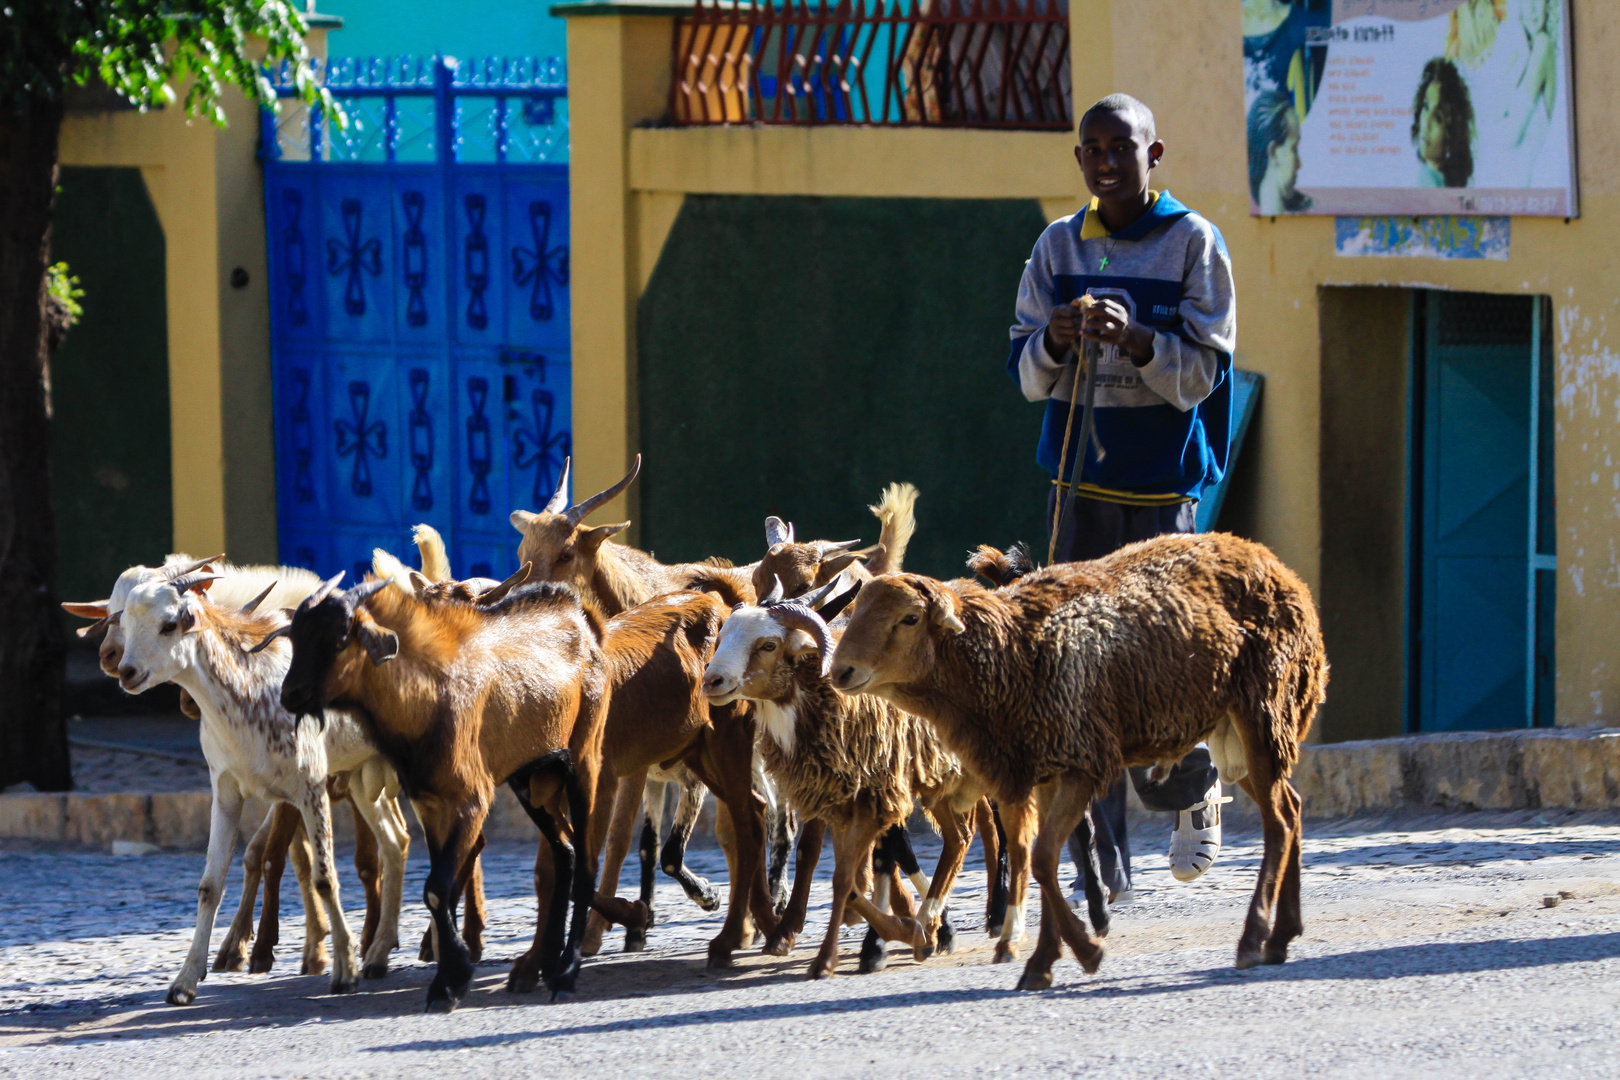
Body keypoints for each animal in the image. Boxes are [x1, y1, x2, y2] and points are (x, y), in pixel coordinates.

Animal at [272, 569, 612, 1010]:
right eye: (296, 637)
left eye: (338, 639)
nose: (290, 695)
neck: (428, 695)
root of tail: (584, 620)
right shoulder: (429, 804)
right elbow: (441, 891)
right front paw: (450, 975)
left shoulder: (471, 800)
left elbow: (437, 888)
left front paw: (451, 981)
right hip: (531, 779)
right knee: (566, 852)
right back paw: (547, 964)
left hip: (583, 759)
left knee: (586, 861)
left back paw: (567, 974)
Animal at [706, 582, 984, 977]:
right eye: (722, 638)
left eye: (768, 645)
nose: (711, 681)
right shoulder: (836, 798)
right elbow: (845, 877)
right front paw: (905, 932)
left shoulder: (875, 796)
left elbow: (843, 877)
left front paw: (827, 959)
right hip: (940, 780)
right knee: (960, 837)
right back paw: (932, 925)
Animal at [829, 531, 1334, 990]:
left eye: (910, 618)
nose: (840, 671)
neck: (1013, 655)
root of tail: (1276, 564)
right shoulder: (1041, 770)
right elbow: (1043, 860)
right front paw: (1044, 962)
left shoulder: (1080, 761)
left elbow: (1044, 859)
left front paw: (1083, 951)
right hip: (1240, 736)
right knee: (1291, 807)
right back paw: (1282, 937)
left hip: (1265, 709)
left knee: (1279, 821)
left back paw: (1254, 939)